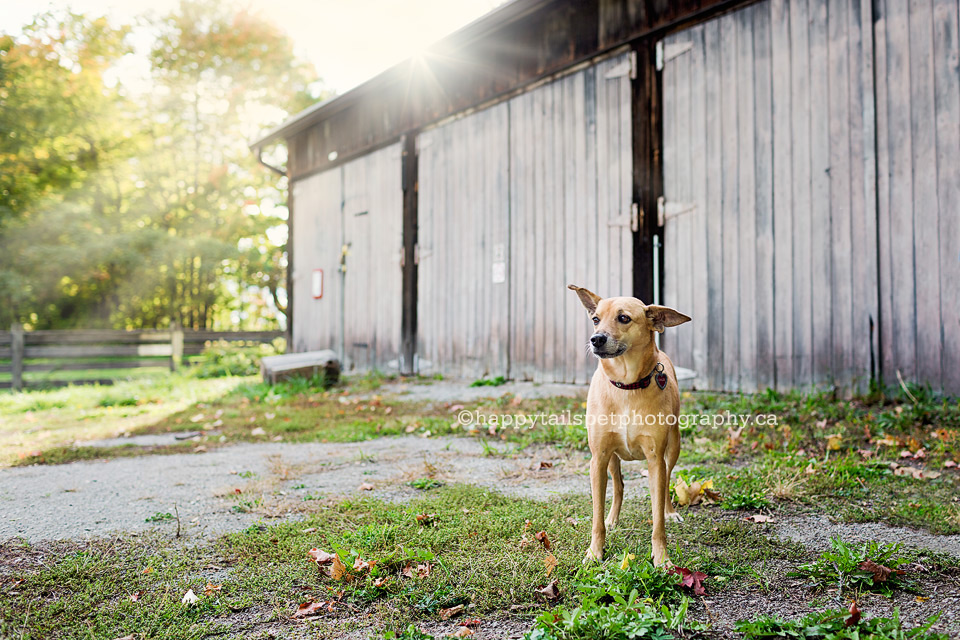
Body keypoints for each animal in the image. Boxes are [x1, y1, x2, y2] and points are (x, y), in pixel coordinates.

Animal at [568, 284, 688, 564]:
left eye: (623, 318)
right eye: (595, 319)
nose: (596, 339)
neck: (627, 385)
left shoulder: (655, 458)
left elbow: (657, 520)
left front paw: (662, 558)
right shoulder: (598, 457)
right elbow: (596, 516)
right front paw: (595, 552)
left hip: (673, 446)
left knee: (667, 481)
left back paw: (670, 511)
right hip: (611, 457)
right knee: (619, 485)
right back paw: (613, 518)